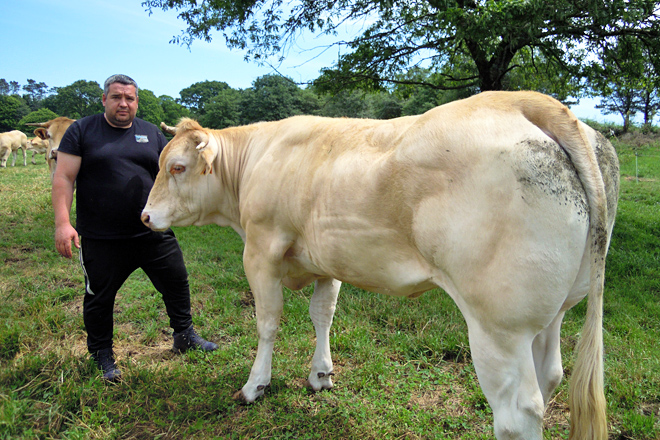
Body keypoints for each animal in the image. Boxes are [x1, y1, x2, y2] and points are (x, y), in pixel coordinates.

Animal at [141, 91, 620, 440]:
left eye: (177, 167)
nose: (144, 217)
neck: (258, 158)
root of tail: (525, 100)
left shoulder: (260, 251)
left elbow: (267, 323)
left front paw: (255, 385)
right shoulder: (326, 256)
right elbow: (323, 314)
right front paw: (320, 374)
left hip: (498, 324)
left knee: (517, 412)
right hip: (553, 311)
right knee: (550, 375)